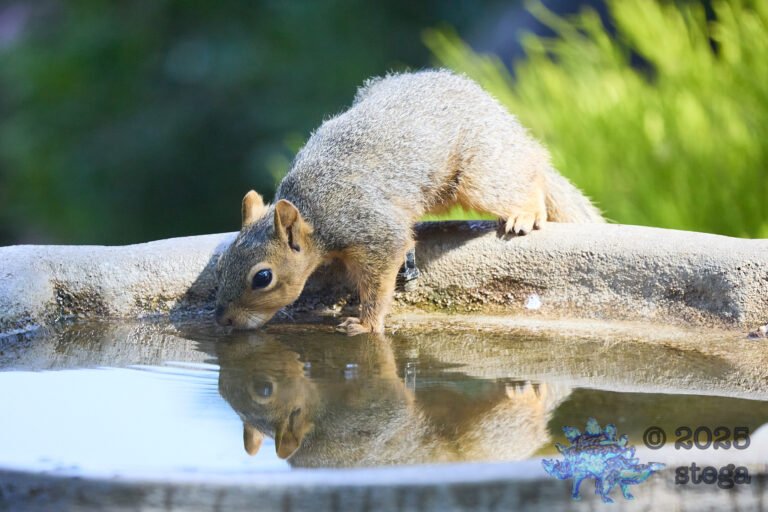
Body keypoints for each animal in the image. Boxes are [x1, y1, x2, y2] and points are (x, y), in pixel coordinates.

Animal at [215, 69, 603, 335]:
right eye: (221, 264)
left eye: (263, 277)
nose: (224, 319)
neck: (314, 211)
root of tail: (507, 128)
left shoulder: (374, 232)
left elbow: (379, 280)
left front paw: (366, 324)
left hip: (480, 175)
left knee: (527, 176)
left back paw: (525, 212)